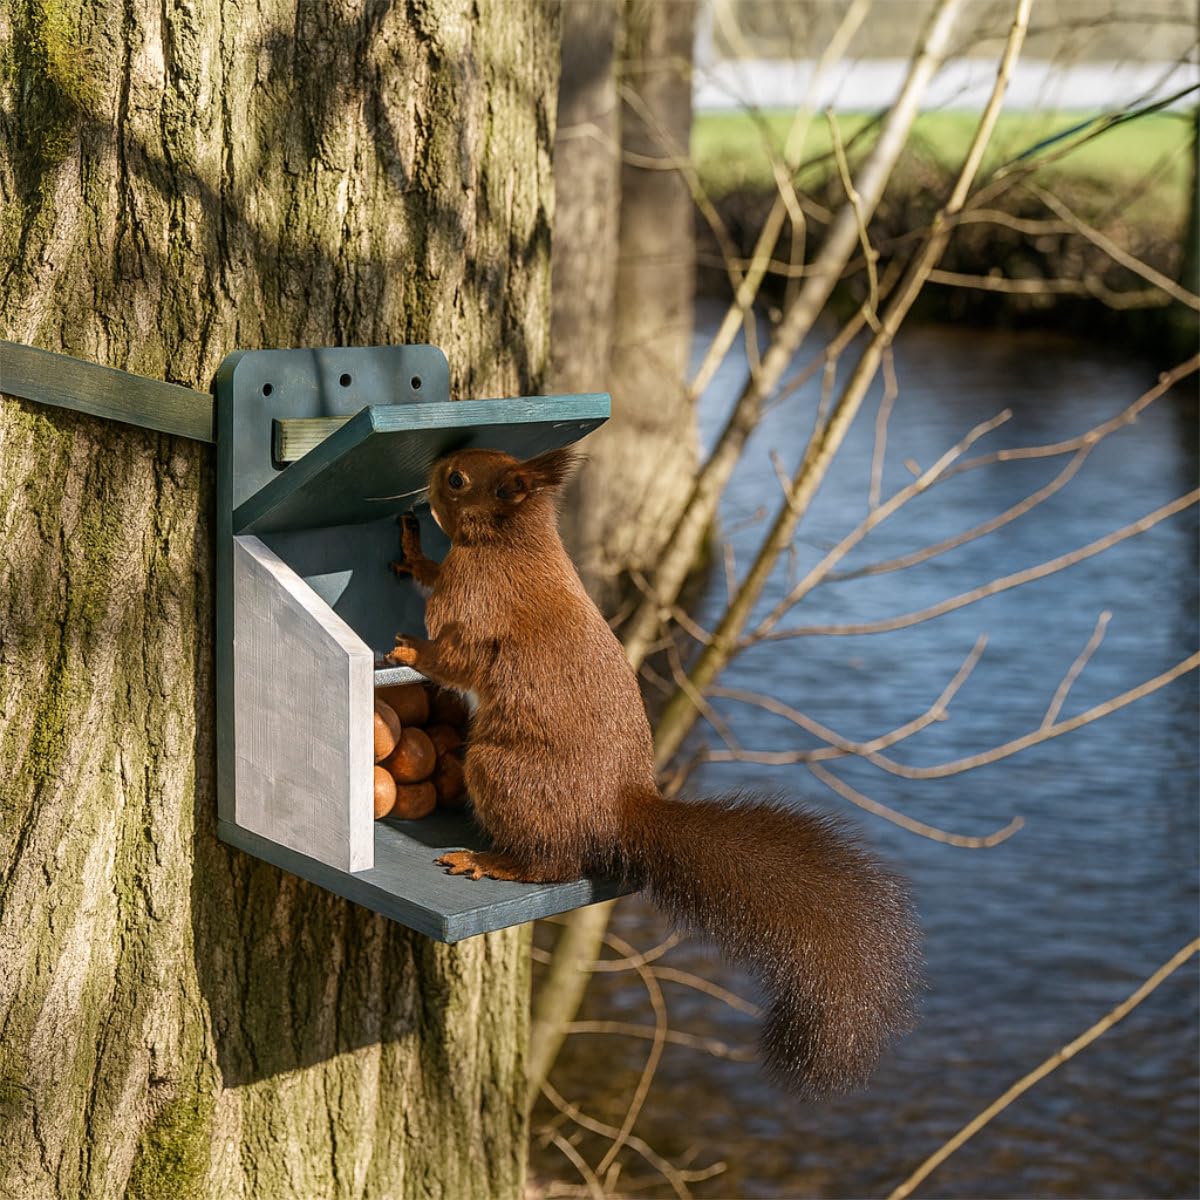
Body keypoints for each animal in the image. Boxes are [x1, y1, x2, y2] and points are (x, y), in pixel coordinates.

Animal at [385, 445, 921, 1096]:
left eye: (459, 479)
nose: (434, 466)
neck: (511, 542)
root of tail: (619, 808)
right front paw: (412, 553)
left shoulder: (475, 600)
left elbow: (456, 657)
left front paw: (411, 650)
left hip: (498, 771)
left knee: (552, 864)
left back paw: (490, 860)